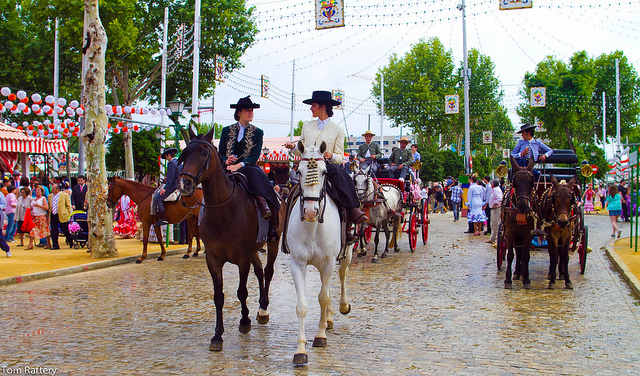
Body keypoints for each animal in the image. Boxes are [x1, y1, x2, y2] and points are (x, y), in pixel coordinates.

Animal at [176, 127, 284, 352]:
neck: (223, 210)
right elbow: (218, 296)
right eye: (184, 154)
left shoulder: (242, 258)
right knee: (260, 272)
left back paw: (263, 309)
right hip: (254, 250)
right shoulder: (214, 259)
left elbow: (242, 291)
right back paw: (259, 308)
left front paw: (244, 321)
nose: (184, 183)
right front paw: (217, 335)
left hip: (272, 242)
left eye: (204, 153)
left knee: (268, 271)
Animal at [288, 140, 352, 364]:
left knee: (341, 276)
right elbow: (302, 306)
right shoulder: (297, 263)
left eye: (324, 171)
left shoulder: (329, 262)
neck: (313, 226)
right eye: (298, 171)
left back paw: (341, 307)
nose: (309, 211)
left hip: (346, 254)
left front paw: (320, 335)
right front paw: (300, 349)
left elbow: (322, 298)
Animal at [502, 157, 536, 290]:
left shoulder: (528, 233)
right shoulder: (510, 232)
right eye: (515, 182)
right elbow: (511, 255)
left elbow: (526, 256)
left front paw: (526, 279)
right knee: (517, 250)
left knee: (521, 252)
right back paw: (517, 272)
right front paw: (507, 280)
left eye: (531, 182)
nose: (522, 206)